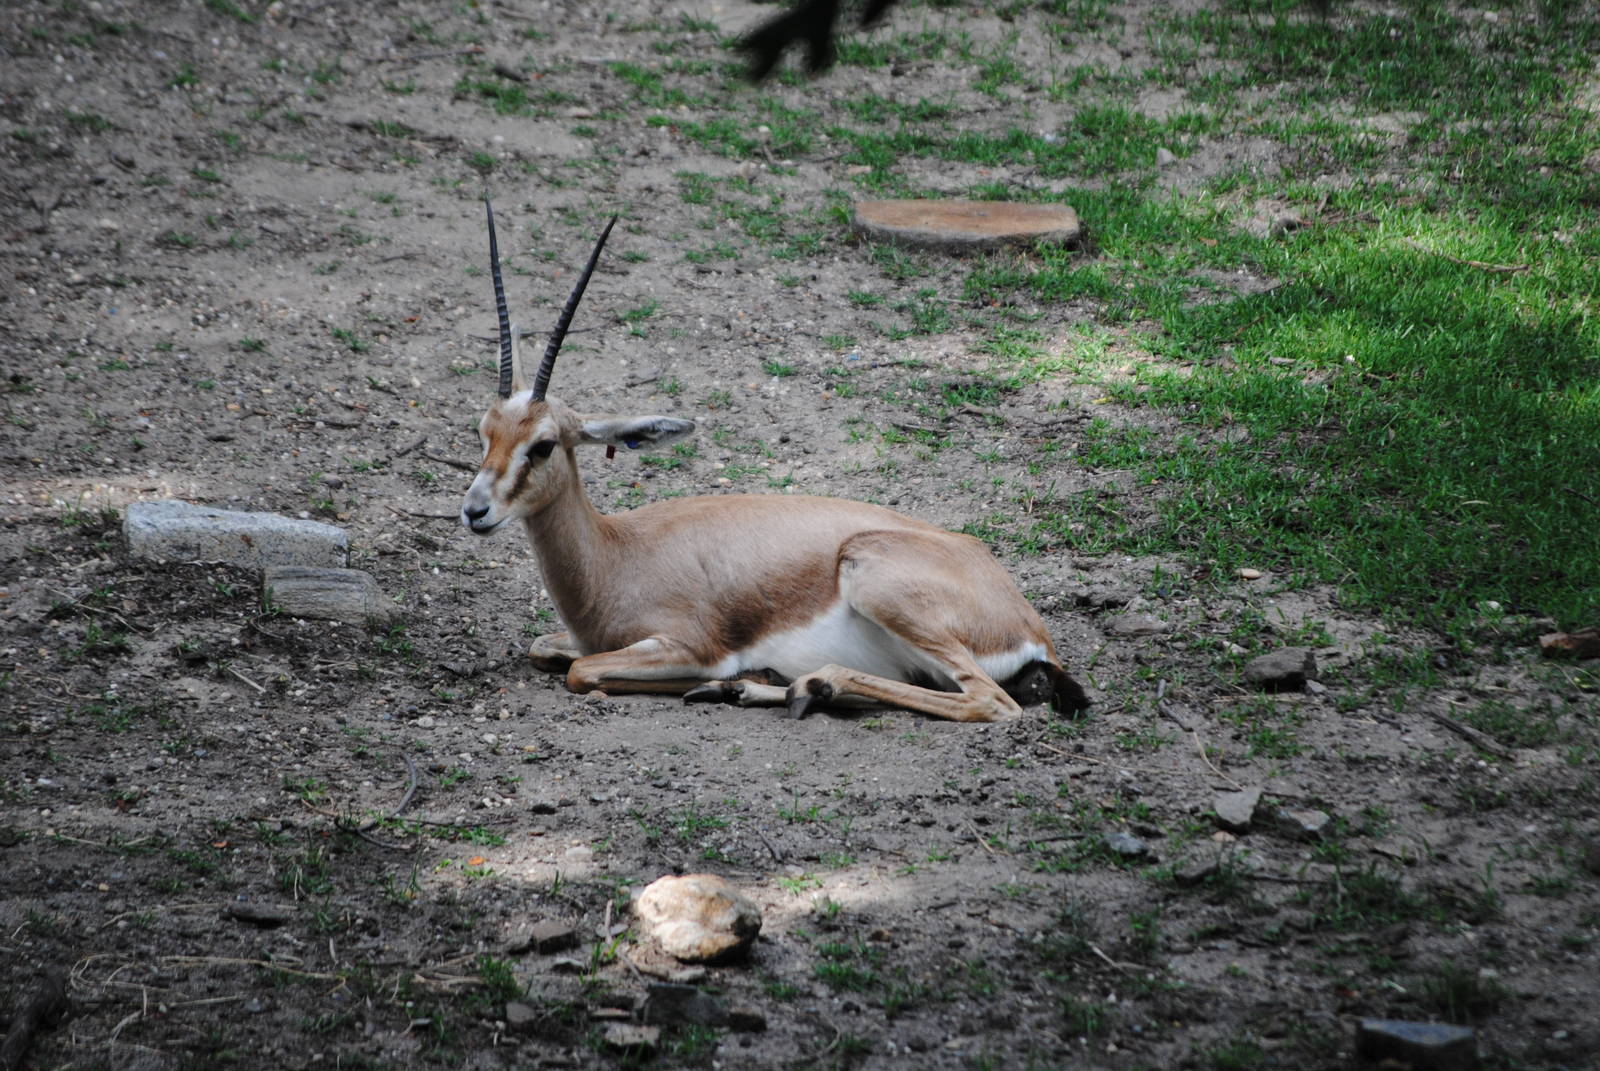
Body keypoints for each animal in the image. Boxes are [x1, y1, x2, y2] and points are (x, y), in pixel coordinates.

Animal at [460, 199, 1089, 723]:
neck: (615, 557)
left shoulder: (687, 644)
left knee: (990, 701)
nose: (474, 511)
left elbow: (580, 671)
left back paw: (799, 685)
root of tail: (1028, 623)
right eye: (484, 431)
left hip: (877, 583)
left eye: (543, 444)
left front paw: (729, 674)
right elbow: (546, 649)